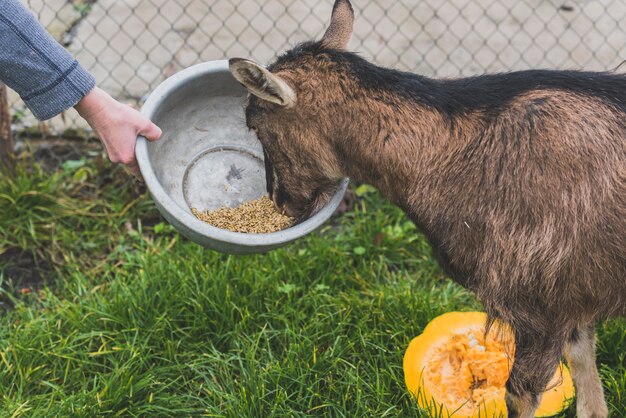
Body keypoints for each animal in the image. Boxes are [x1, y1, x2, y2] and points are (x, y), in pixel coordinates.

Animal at [228, 1, 624, 416]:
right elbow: (587, 381)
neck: (449, 154)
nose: (279, 200)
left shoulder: (540, 307)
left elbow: (522, 395)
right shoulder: (574, 297)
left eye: (254, 125)